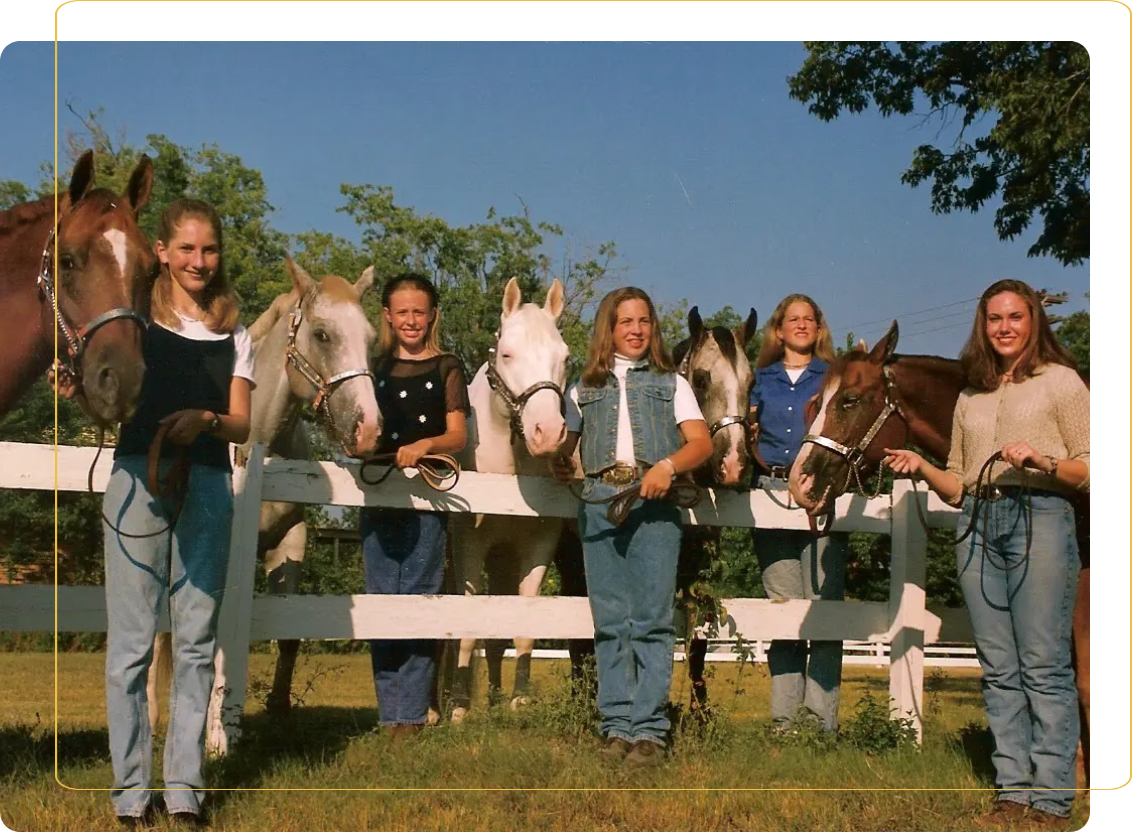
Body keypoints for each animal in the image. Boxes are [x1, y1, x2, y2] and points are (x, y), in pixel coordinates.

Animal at [146, 256, 382, 724]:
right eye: (322, 334)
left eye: (371, 339)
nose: (368, 430)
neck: (261, 445)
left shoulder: (289, 542)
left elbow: (289, 632)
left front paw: (278, 709)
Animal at [446, 278, 570, 724]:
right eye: (507, 353)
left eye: (565, 358)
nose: (548, 432)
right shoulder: (469, 544)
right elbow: (466, 631)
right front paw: (459, 708)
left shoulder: (538, 546)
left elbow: (522, 627)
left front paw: (518, 702)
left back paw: (497, 697)